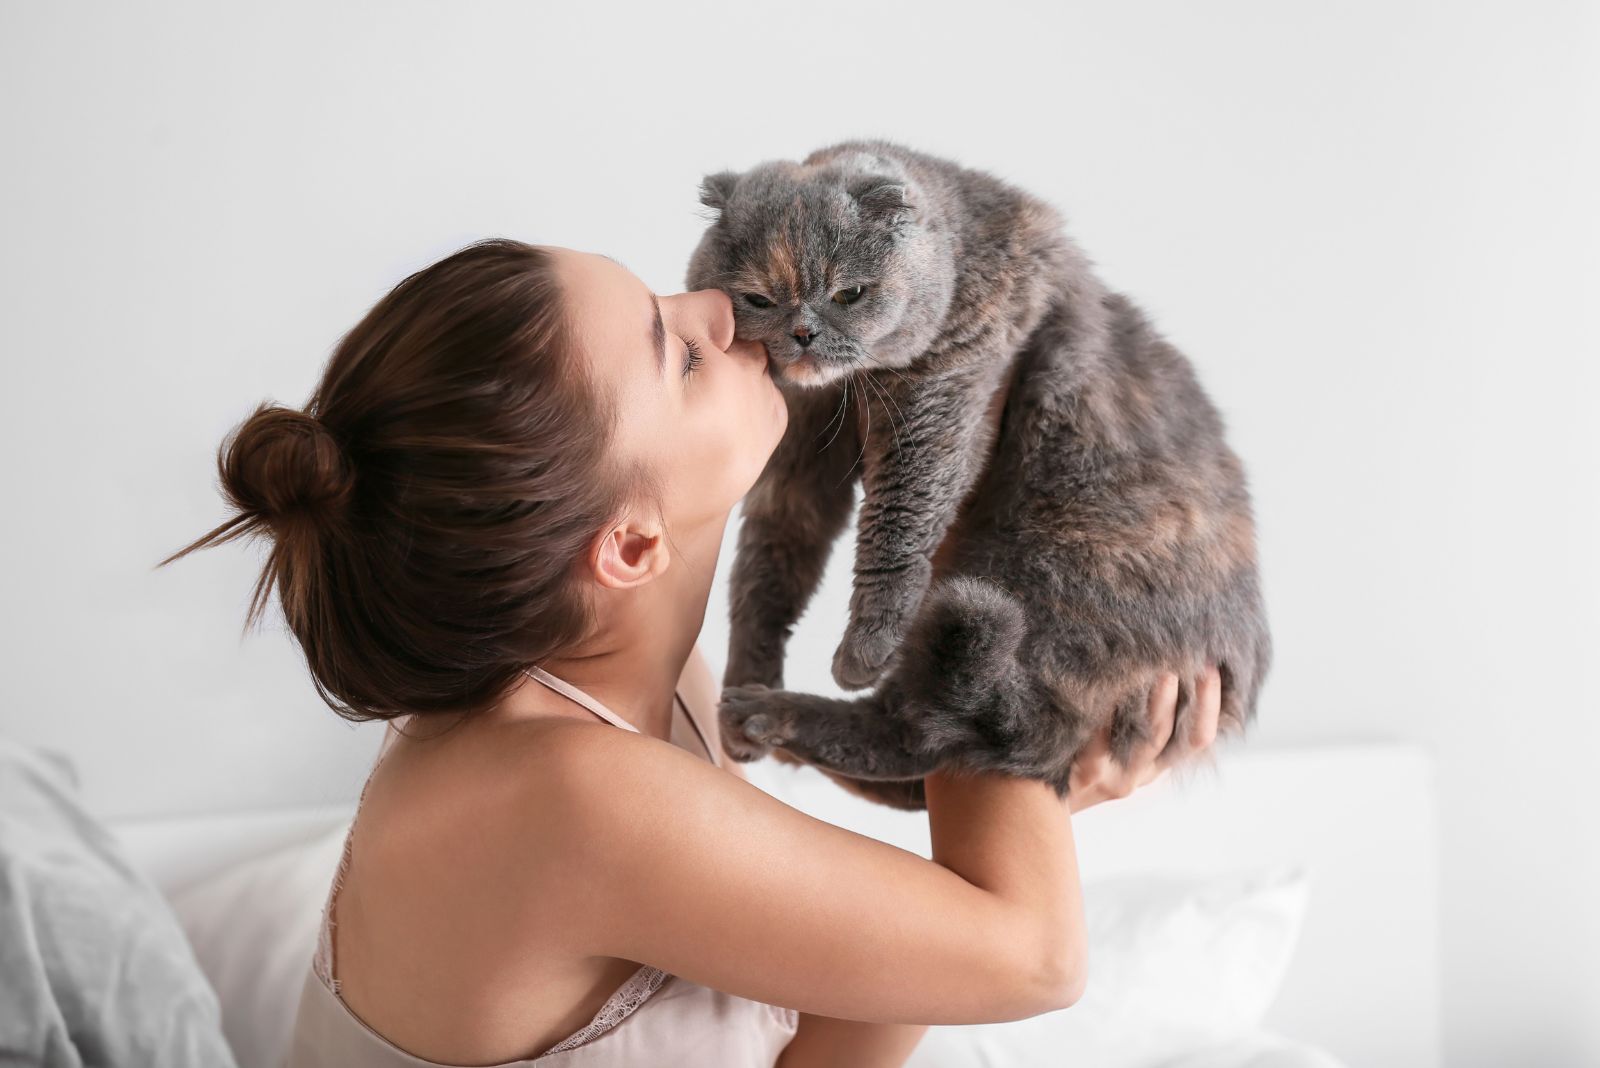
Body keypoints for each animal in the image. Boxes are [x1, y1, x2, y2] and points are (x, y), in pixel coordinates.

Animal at [681, 139, 1267, 808]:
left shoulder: (946, 386)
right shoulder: (798, 452)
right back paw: (751, 714)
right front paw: (747, 667)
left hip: (1035, 572)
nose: (803, 333)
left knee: (921, 733)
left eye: (850, 293)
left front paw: (863, 650)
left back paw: (766, 713)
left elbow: (899, 518)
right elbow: (767, 567)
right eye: (758, 299)